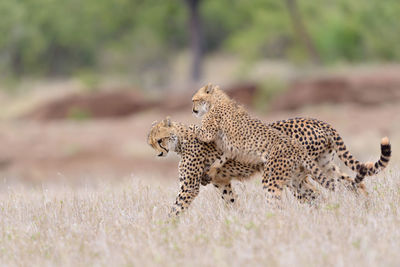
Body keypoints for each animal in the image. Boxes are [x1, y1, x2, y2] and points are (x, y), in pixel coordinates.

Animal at [147, 118, 318, 217]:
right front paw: (240, 218)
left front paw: (166, 229)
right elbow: (232, 200)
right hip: (294, 178)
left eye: (160, 140)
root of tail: (313, 121)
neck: (181, 140)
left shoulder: (189, 187)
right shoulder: (221, 182)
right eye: (151, 144)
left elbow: (176, 208)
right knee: (315, 194)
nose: (159, 154)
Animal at [191, 84, 390, 205]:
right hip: (323, 165)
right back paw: (363, 206)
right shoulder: (223, 177)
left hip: (294, 176)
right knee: (349, 183)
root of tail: (321, 122)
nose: (192, 110)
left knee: (315, 194)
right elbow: (231, 201)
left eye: (195, 100)